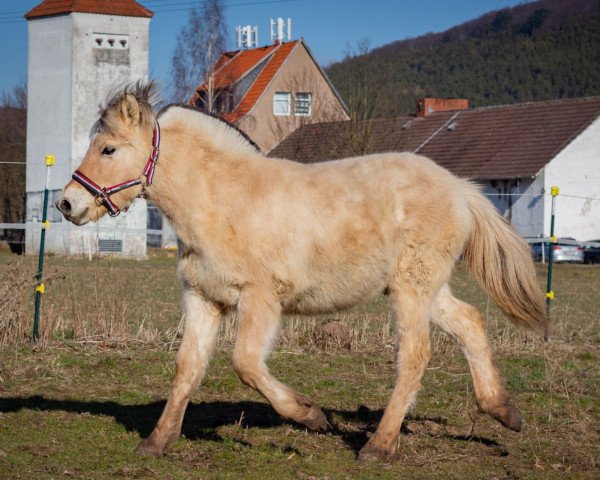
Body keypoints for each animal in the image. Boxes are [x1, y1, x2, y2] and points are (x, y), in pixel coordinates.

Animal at [56, 82, 548, 462]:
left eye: (108, 148)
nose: (67, 204)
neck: (222, 198)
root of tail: (460, 188)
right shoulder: (203, 298)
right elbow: (187, 368)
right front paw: (157, 443)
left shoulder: (259, 299)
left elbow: (246, 364)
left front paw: (312, 417)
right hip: (426, 288)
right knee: (470, 322)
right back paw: (504, 411)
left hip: (413, 288)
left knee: (414, 356)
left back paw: (378, 447)